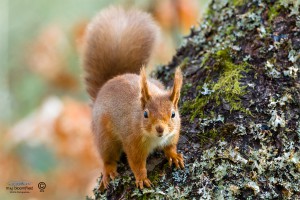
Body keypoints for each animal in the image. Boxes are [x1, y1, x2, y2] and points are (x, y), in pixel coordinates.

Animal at [83, 6, 184, 191]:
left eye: (173, 114)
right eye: (145, 114)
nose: (160, 129)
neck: (154, 139)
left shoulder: (173, 134)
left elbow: (170, 146)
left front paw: (174, 155)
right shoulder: (133, 142)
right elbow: (136, 163)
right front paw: (141, 178)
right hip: (104, 136)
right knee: (107, 156)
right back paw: (109, 171)